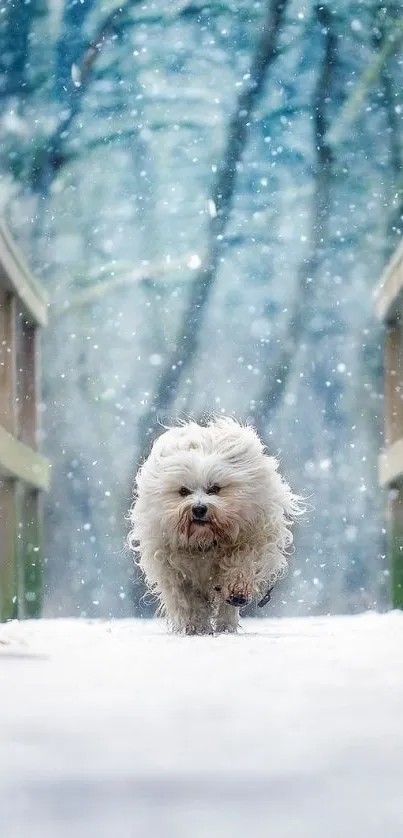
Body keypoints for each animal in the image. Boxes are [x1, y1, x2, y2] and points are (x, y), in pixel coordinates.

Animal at [129, 420, 304, 636]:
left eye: (215, 489)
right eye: (183, 491)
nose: (198, 509)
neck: (206, 539)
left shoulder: (255, 536)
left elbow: (243, 562)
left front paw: (238, 589)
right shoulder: (172, 566)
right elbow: (188, 600)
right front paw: (196, 627)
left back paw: (227, 623)